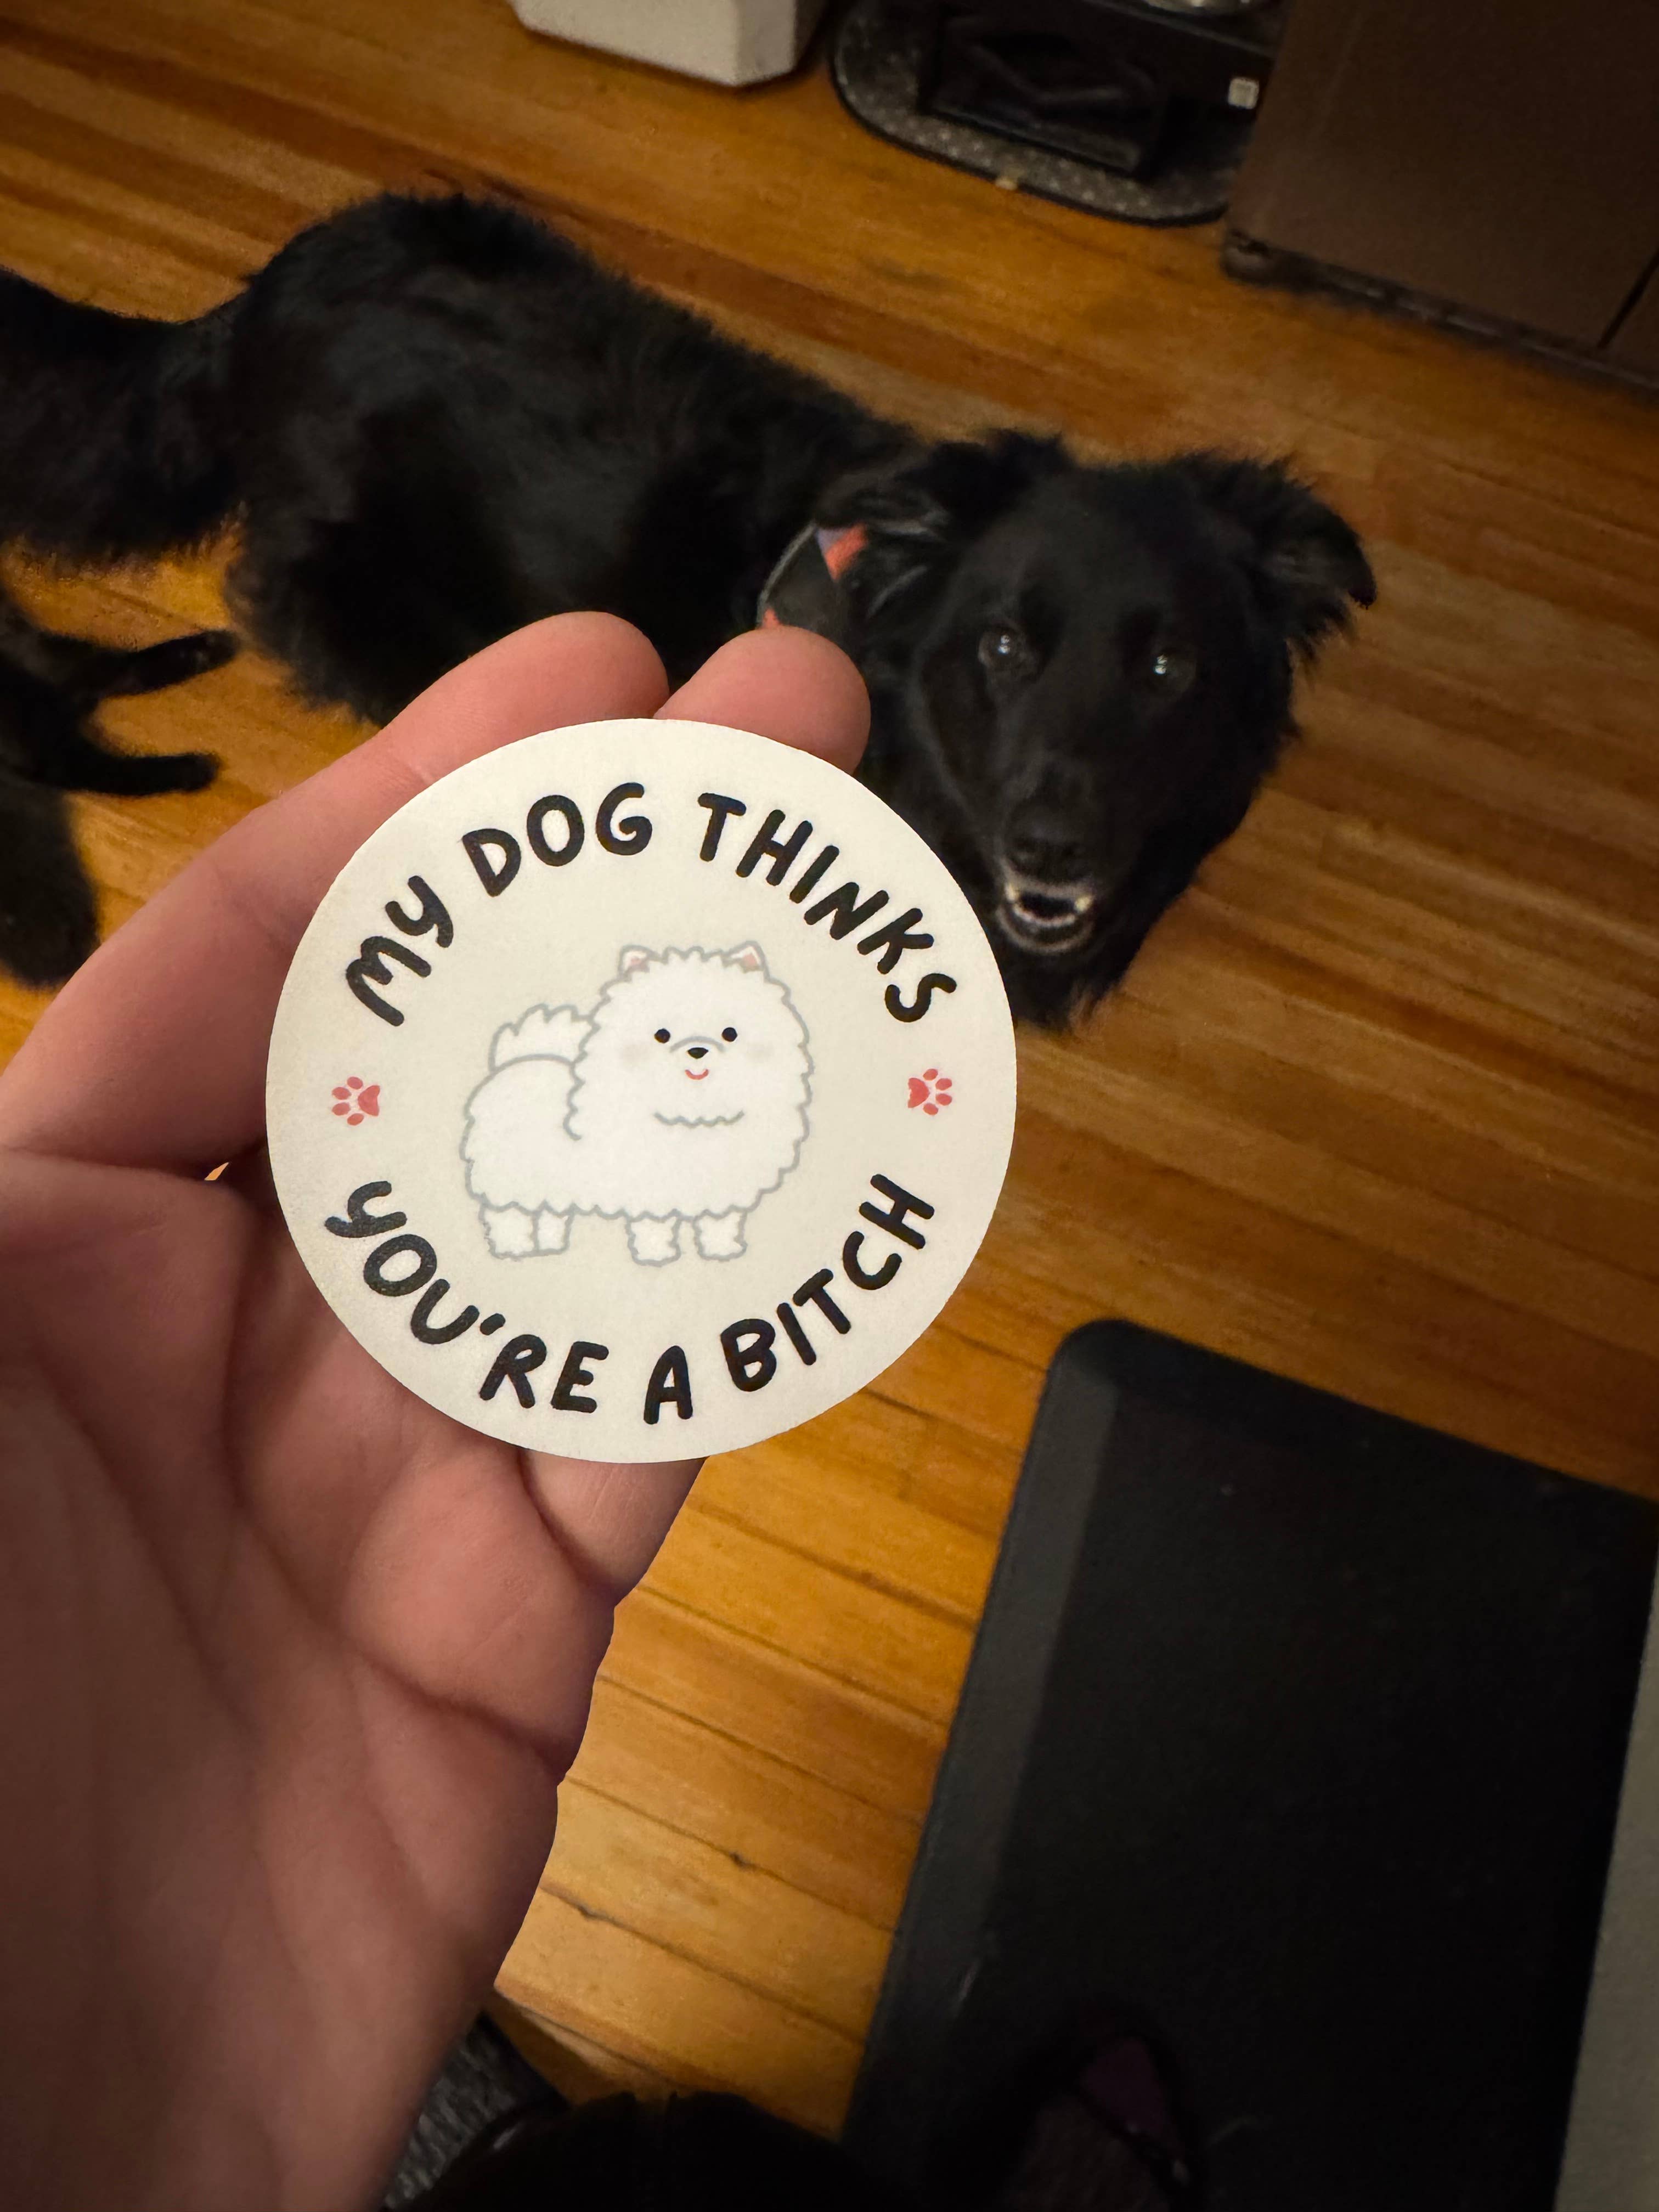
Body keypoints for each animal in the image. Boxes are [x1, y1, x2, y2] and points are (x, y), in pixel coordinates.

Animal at [462, 943, 812, 1266]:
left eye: (730, 1033)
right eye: (662, 1035)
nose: (698, 1050)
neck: (691, 1115)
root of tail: (512, 1063)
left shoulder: (722, 1192)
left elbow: (719, 1226)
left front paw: (723, 1253)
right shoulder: (650, 1193)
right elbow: (655, 1229)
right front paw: (658, 1257)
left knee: (551, 1215)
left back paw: (551, 1246)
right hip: (505, 1182)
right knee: (507, 1219)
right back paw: (514, 1250)